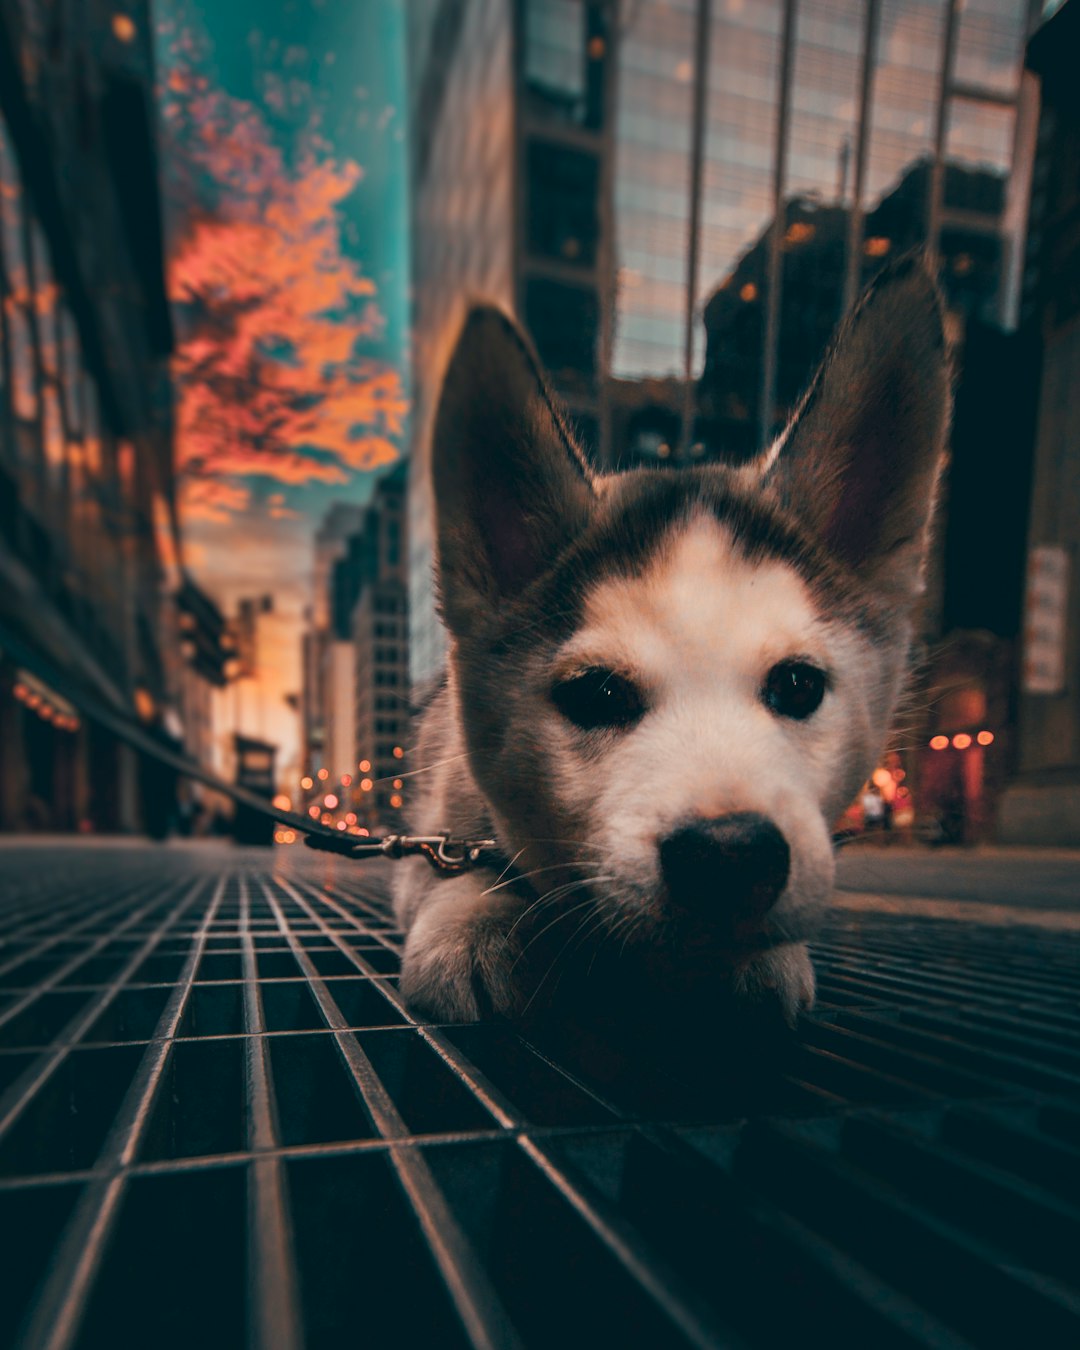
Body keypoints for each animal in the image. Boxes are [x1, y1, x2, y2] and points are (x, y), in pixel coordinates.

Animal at [391, 257, 950, 1026]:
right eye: (597, 694)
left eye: (798, 685)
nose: (731, 855)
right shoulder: (435, 833)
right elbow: (452, 870)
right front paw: (471, 919)